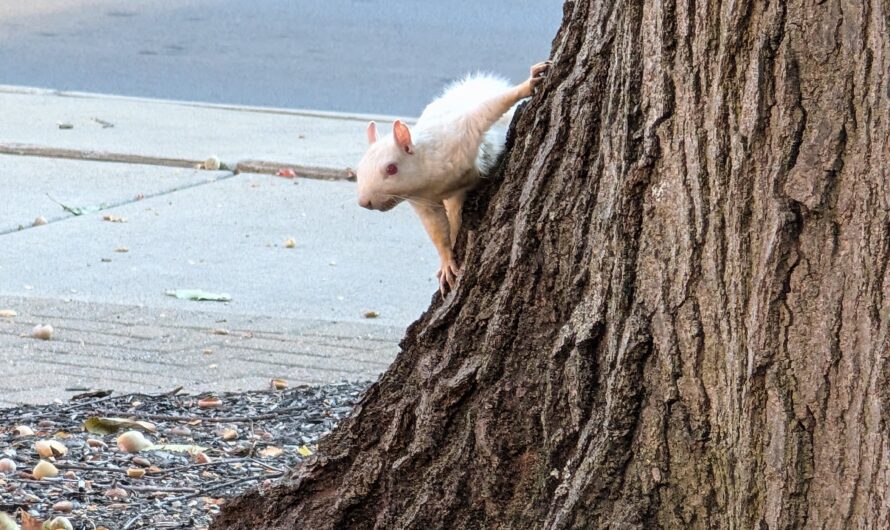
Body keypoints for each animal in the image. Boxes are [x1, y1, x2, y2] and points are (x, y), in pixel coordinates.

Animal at [355, 61, 551, 294]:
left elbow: (489, 109)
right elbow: (437, 229)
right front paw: (446, 262)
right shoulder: (424, 202)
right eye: (358, 170)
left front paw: (528, 84)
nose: (364, 202)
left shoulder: (461, 131)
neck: (430, 178)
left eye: (391, 169)